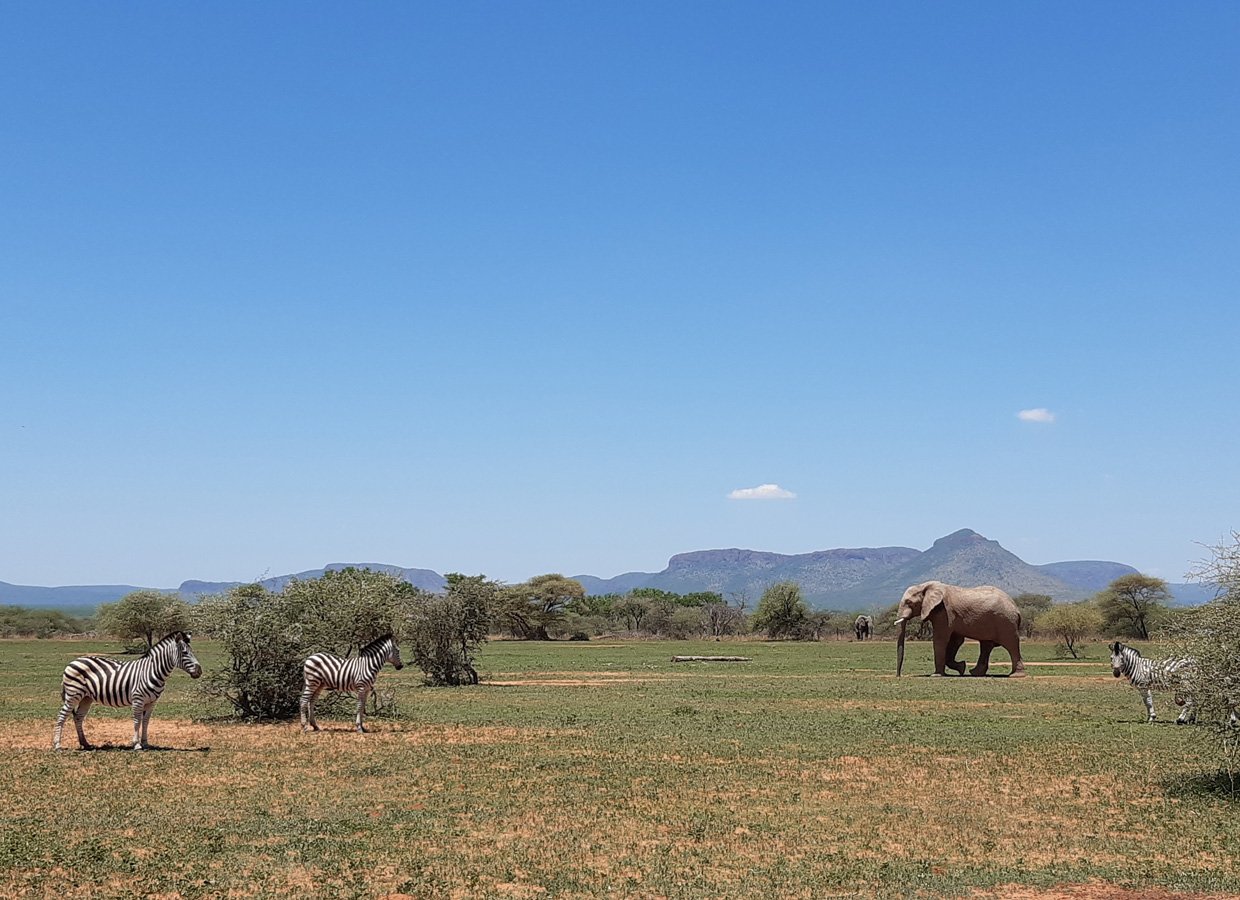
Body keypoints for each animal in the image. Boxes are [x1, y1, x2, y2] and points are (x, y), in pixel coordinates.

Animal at [894, 581, 1026, 678]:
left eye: (909, 602)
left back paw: (1016, 675)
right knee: (986, 646)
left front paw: (936, 675)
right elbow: (955, 641)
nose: (899, 676)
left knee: (1011, 645)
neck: (925, 586)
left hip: (1006, 622)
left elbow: (940, 639)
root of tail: (1017, 609)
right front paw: (962, 668)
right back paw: (975, 673)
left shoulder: (944, 613)